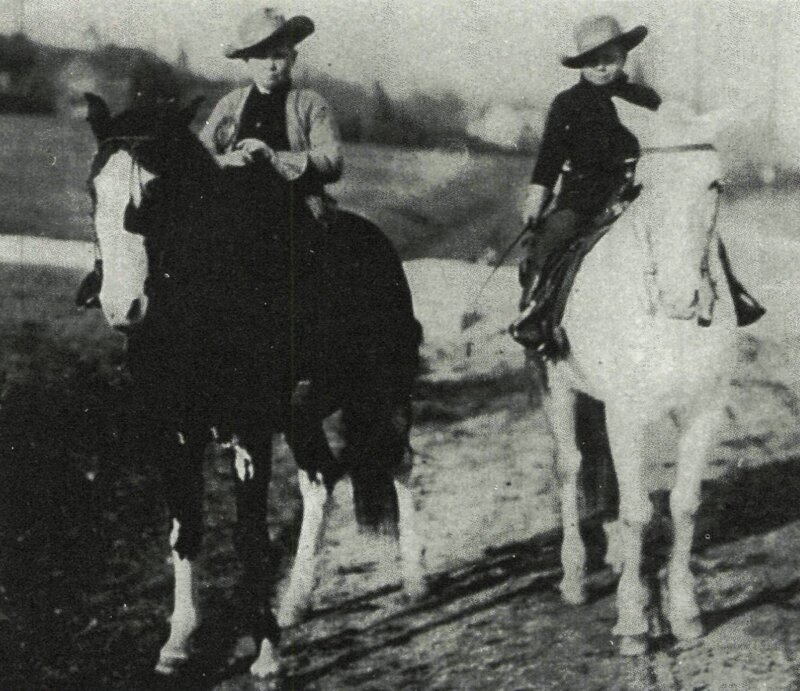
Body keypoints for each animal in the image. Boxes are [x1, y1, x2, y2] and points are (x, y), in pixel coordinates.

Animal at [83, 93, 424, 680]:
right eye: (92, 190)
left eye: (157, 192)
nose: (122, 307)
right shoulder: (172, 432)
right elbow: (186, 528)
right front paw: (178, 642)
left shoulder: (250, 433)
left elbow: (250, 538)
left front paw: (265, 653)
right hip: (302, 414)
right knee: (321, 477)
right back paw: (297, 602)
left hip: (384, 391)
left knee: (399, 461)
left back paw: (415, 579)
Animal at [536, 105, 736, 656]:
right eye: (643, 185)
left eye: (714, 184)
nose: (679, 298)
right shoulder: (627, 412)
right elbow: (637, 512)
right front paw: (631, 622)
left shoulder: (703, 410)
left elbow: (683, 506)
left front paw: (685, 614)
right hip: (558, 386)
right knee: (570, 467)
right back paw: (574, 577)